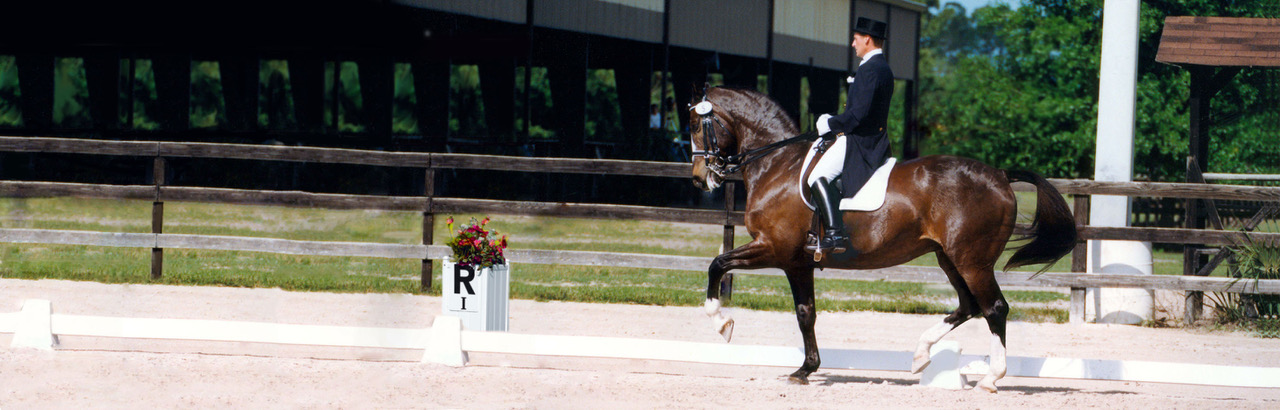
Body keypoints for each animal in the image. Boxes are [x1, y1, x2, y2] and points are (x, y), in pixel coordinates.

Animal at [688, 86, 1077, 393]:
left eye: (694, 125)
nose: (699, 179)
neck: (776, 164)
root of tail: (1000, 174)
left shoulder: (773, 248)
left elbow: (717, 265)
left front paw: (722, 324)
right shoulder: (798, 262)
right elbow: (805, 314)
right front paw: (805, 370)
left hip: (972, 261)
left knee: (994, 308)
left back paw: (990, 378)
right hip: (948, 258)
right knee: (969, 306)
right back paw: (920, 356)